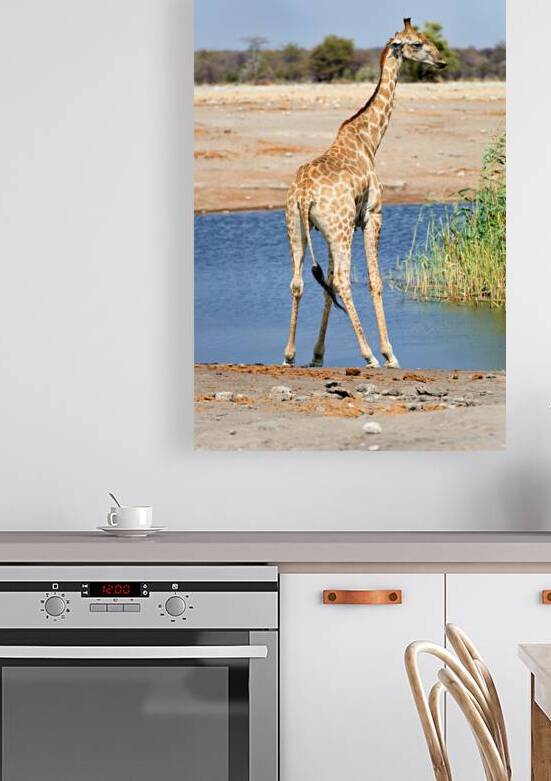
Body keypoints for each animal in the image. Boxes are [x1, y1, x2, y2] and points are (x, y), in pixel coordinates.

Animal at [282, 18, 446, 368]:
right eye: (417, 43)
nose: (441, 61)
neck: (370, 140)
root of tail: (303, 194)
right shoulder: (372, 215)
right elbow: (375, 281)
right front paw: (390, 353)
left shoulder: (330, 231)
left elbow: (327, 284)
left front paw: (317, 355)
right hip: (340, 229)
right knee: (344, 282)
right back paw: (370, 354)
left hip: (299, 228)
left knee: (300, 282)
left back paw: (289, 355)